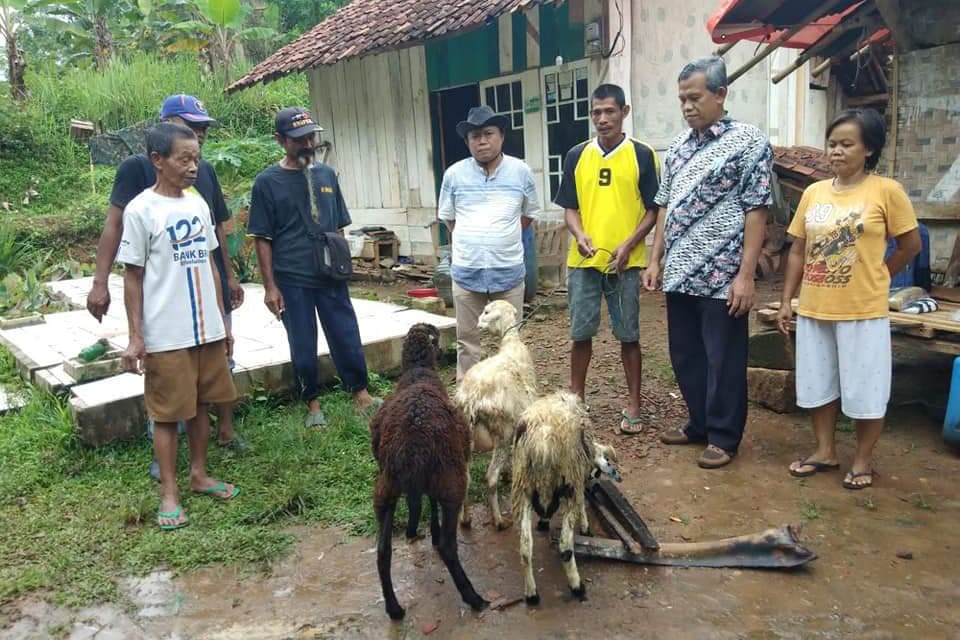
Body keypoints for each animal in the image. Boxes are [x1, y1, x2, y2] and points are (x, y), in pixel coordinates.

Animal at [454, 300, 536, 528]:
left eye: (486, 312)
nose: (477, 322)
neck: (511, 344)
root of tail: (472, 398)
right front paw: (509, 474)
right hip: (502, 432)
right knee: (490, 478)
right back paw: (499, 520)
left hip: (465, 435)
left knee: (465, 478)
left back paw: (465, 519)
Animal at [510, 390, 624, 604]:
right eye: (599, 471)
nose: (596, 483)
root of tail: (543, 443)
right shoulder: (577, 480)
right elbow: (581, 504)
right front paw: (586, 527)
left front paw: (544, 522)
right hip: (568, 482)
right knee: (565, 547)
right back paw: (577, 586)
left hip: (523, 487)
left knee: (525, 548)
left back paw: (531, 594)